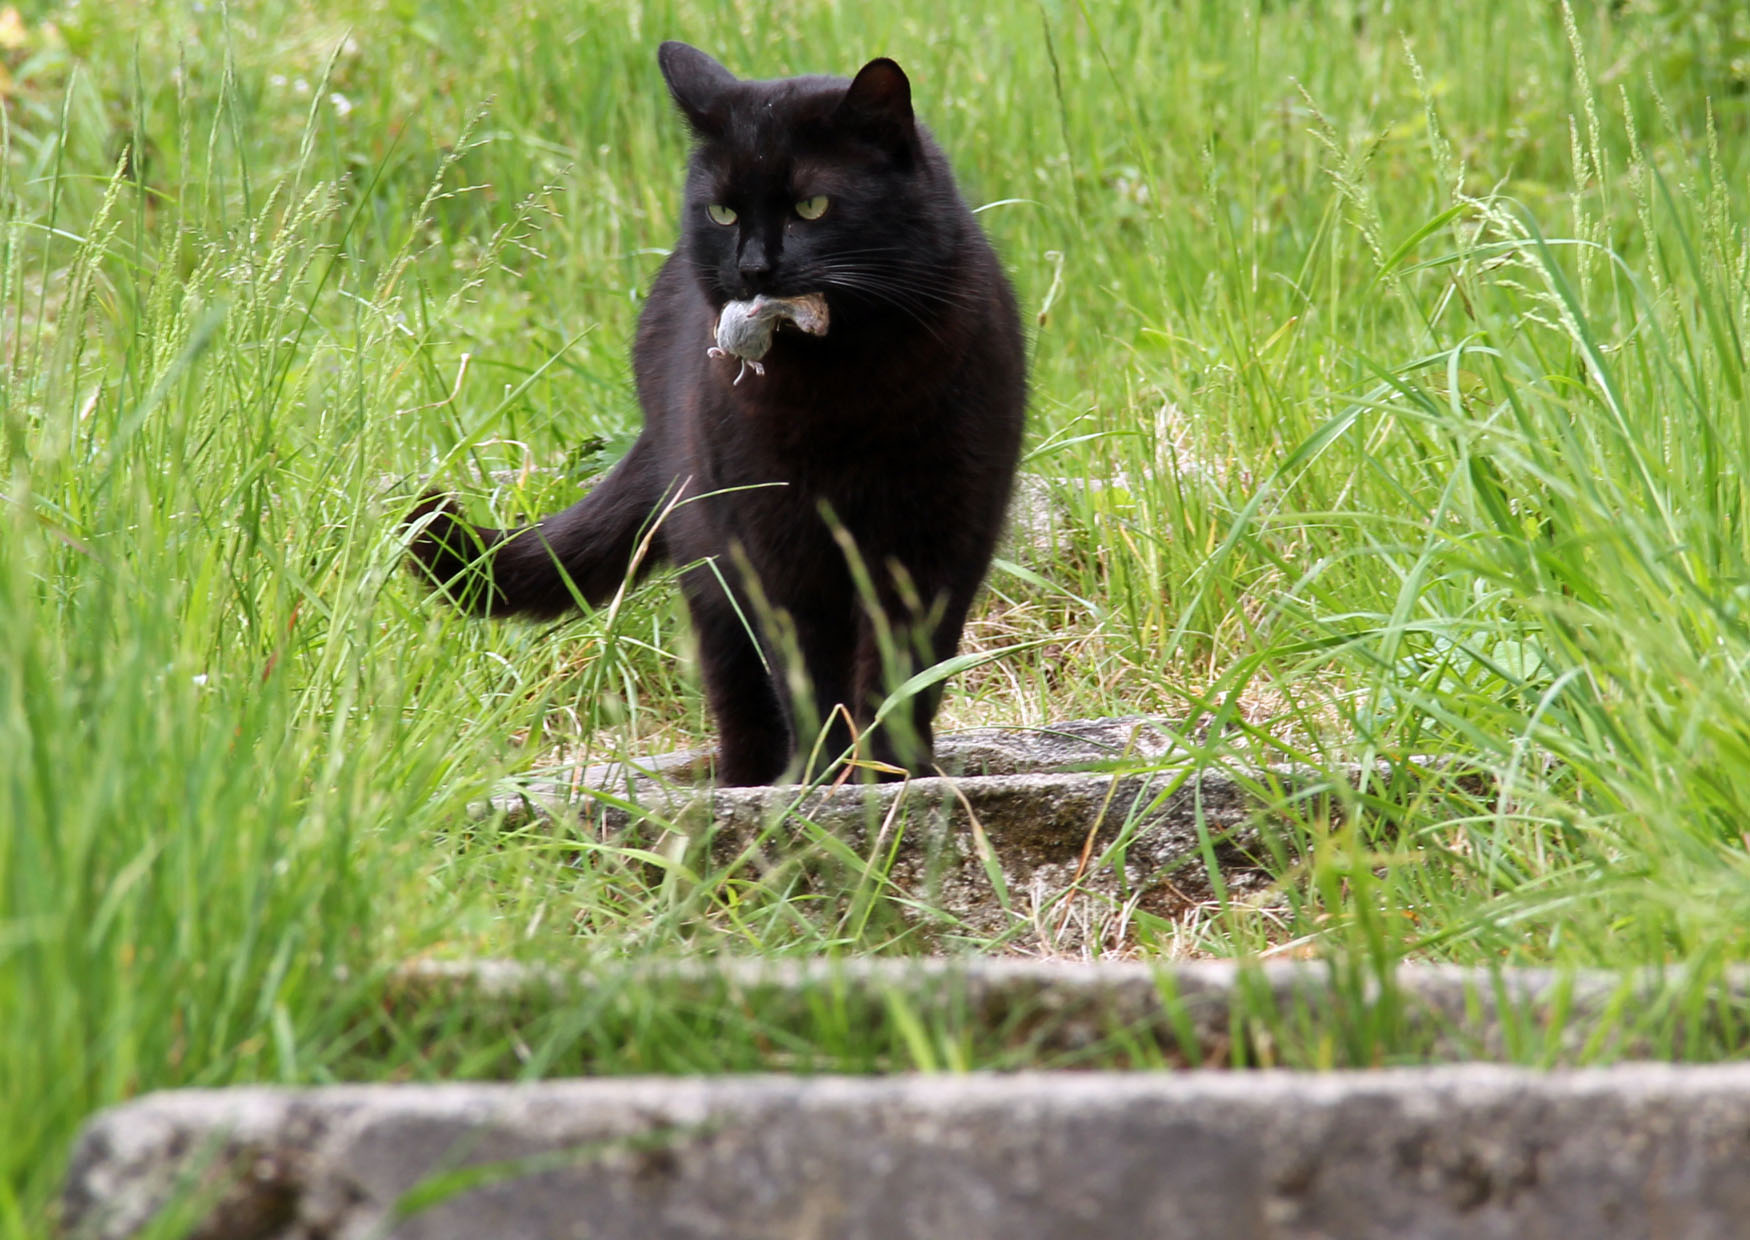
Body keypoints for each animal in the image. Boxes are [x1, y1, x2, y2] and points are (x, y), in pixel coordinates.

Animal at [407, 45, 1022, 783]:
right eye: (724, 213)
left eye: (812, 206)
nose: (753, 267)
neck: (846, 389)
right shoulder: (774, 539)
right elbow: (808, 667)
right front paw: (826, 774)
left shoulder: (938, 533)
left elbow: (903, 670)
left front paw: (892, 772)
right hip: (708, 551)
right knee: (738, 687)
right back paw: (749, 779)